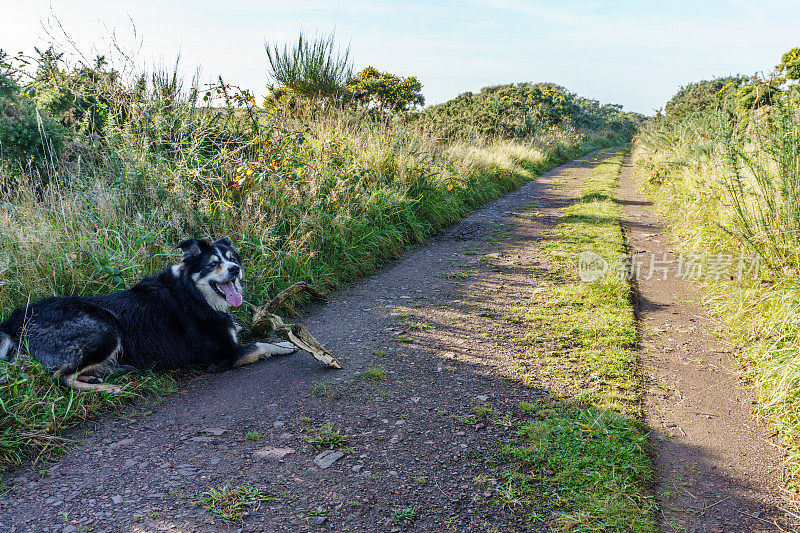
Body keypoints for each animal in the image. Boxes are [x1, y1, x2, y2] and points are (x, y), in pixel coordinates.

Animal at [0, 237, 296, 390]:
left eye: (232, 258)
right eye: (213, 264)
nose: (235, 269)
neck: (194, 293)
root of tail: (13, 321)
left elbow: (252, 331)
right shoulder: (224, 354)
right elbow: (260, 345)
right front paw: (285, 344)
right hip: (105, 326)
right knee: (59, 377)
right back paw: (109, 387)